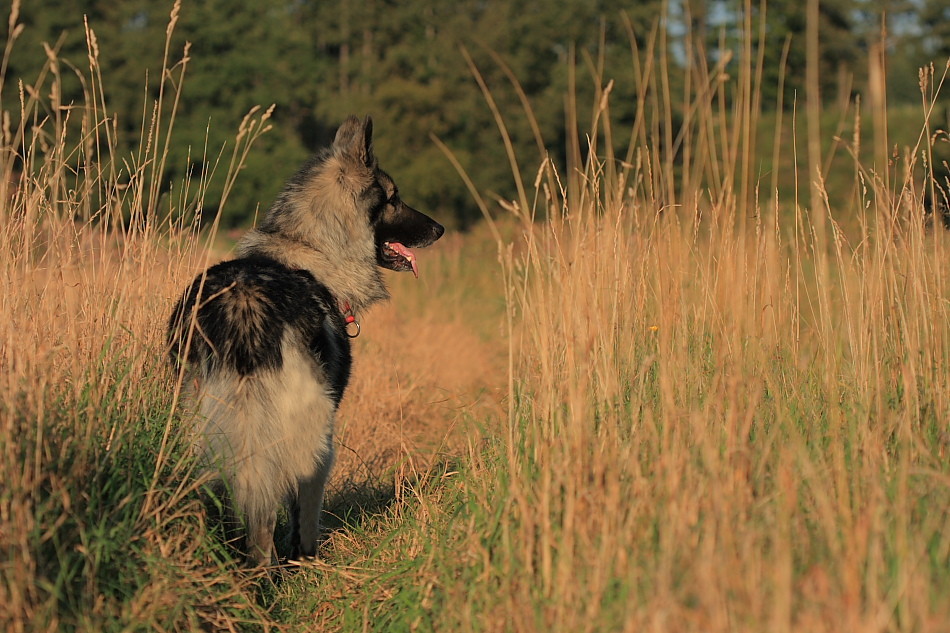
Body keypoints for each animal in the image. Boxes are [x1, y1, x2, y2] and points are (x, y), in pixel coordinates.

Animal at [168, 113, 446, 564]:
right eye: (393, 198)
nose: (440, 228)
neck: (309, 248)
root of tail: (244, 308)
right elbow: (306, 515)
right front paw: (308, 558)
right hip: (306, 433)